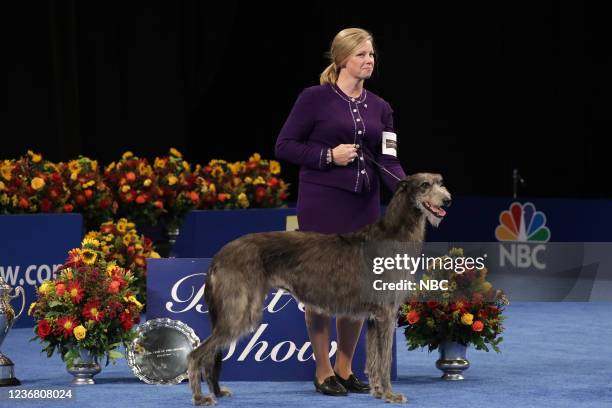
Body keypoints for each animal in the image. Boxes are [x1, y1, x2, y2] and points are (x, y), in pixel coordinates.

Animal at [186, 172, 450, 404]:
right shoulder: (386, 313)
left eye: (440, 182)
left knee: (209, 355)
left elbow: (375, 361)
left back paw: (216, 392)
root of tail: (218, 257)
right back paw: (200, 397)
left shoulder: (376, 317)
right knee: (196, 354)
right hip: (240, 311)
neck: (394, 234)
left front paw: (377, 391)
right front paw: (390, 395)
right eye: (425, 185)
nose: (447, 199)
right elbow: (384, 362)